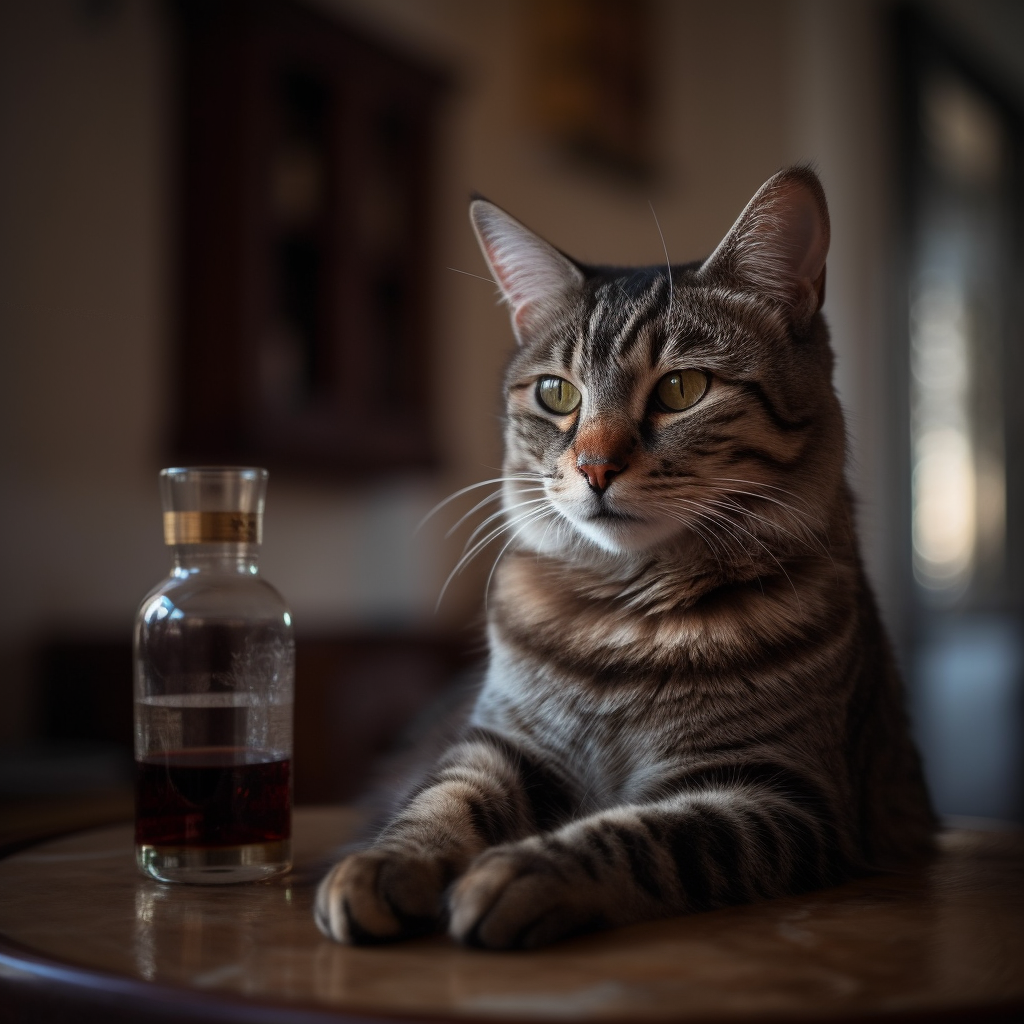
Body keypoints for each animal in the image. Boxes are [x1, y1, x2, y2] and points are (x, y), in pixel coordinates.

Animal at [311, 165, 937, 950]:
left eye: (681, 389)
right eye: (557, 394)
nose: (594, 467)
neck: (625, 622)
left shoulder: (782, 792)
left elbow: (649, 835)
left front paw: (522, 870)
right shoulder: (501, 744)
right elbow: (442, 800)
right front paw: (383, 863)